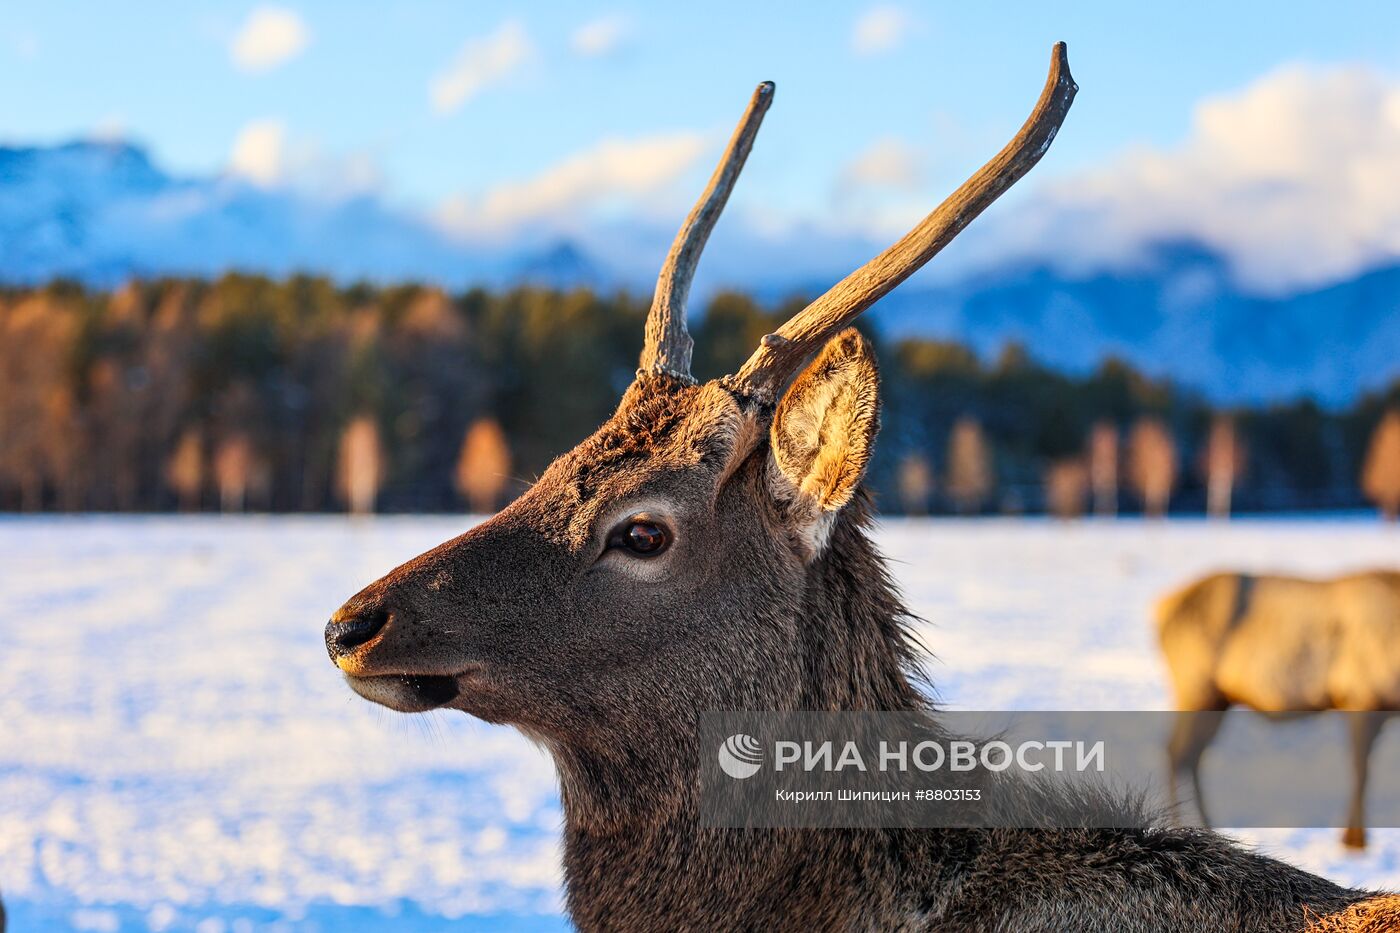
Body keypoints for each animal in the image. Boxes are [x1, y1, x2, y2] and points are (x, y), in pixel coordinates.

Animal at [1159, 565, 1400, 851]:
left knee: (1189, 754)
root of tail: (1159, 610)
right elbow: (1361, 772)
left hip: (1214, 699)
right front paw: (1354, 841)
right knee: (1179, 753)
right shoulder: (1360, 696)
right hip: (1197, 689)